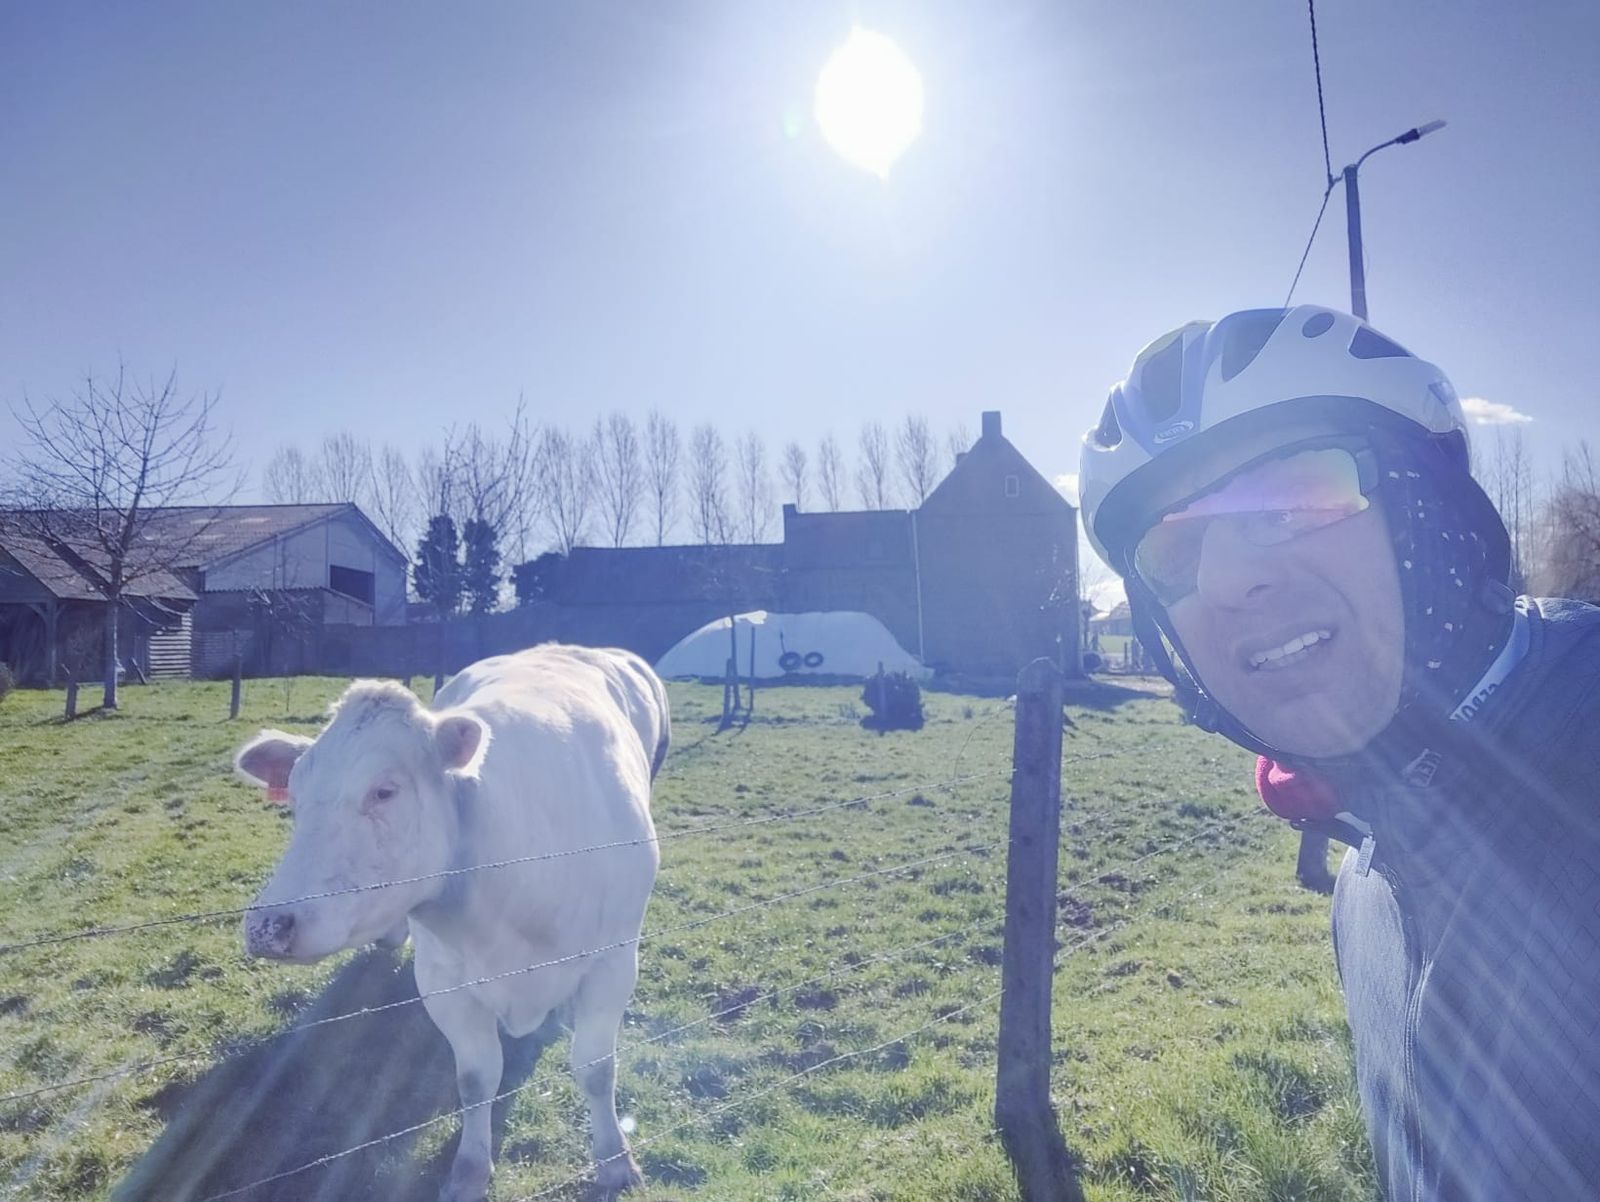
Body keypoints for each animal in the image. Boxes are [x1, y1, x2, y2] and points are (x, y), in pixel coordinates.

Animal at [233, 649, 665, 1202]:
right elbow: (476, 1079)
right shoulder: (443, 982)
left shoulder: (613, 966)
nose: (269, 926)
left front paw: (615, 1160)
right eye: (295, 796)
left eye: (385, 791)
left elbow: (595, 1068)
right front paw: (469, 1171)